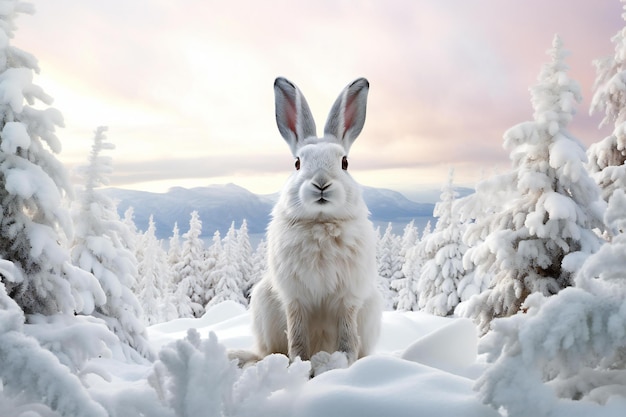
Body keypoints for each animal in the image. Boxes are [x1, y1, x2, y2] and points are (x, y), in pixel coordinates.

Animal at [243, 77, 380, 374]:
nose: (321, 183)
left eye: (345, 162)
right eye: (297, 163)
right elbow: (297, 336)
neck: (320, 223)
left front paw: (342, 363)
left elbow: (347, 334)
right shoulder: (295, 300)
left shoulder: (347, 298)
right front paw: (301, 365)